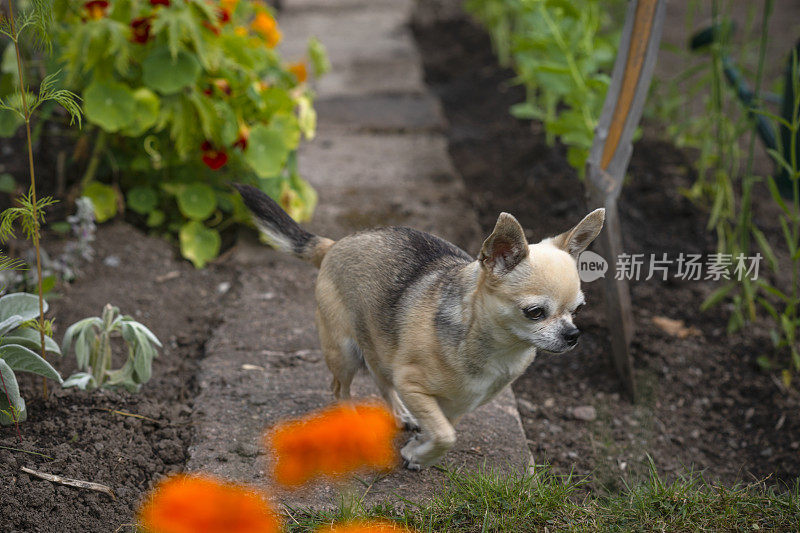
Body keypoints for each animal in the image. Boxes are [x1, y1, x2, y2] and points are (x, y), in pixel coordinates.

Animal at [234, 184, 604, 470]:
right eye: (535, 313)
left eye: (578, 310)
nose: (573, 335)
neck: (493, 348)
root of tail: (333, 244)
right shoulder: (413, 384)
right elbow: (445, 434)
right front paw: (419, 454)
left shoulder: (459, 403)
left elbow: (443, 427)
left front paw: (417, 449)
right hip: (345, 351)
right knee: (340, 390)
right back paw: (353, 423)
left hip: (381, 344)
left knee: (382, 380)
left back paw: (401, 414)